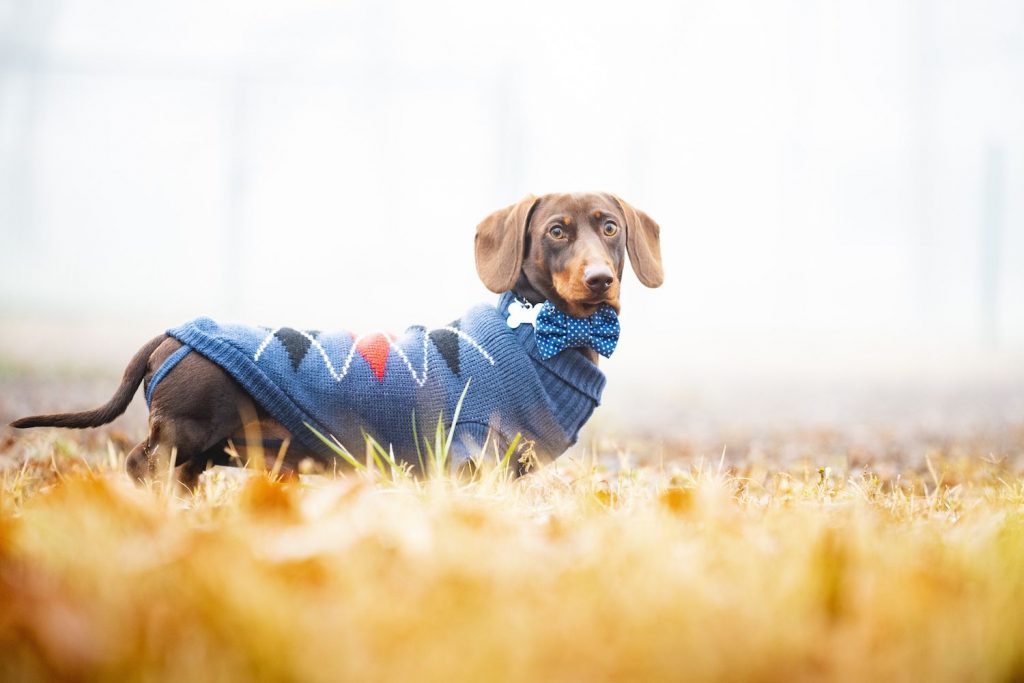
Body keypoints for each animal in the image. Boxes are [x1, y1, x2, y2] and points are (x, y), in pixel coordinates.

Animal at [12, 194, 663, 489]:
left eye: (610, 227)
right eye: (556, 231)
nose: (599, 280)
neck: (536, 337)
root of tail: (174, 336)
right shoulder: (468, 455)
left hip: (200, 450)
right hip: (182, 434)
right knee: (140, 464)